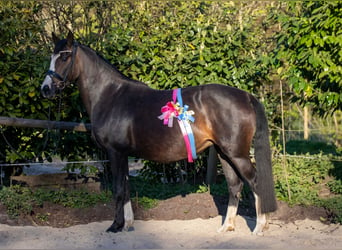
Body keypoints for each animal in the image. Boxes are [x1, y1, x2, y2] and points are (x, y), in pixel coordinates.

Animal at [40, 31, 276, 234]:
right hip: (223, 153)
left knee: (255, 182)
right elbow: (126, 187)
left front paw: (115, 225)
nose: (45, 89)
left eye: (65, 56)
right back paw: (227, 227)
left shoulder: (115, 152)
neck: (110, 96)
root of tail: (246, 96)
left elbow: (118, 189)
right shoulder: (123, 154)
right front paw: (128, 224)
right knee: (234, 185)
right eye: (52, 56)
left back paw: (259, 227)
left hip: (237, 154)